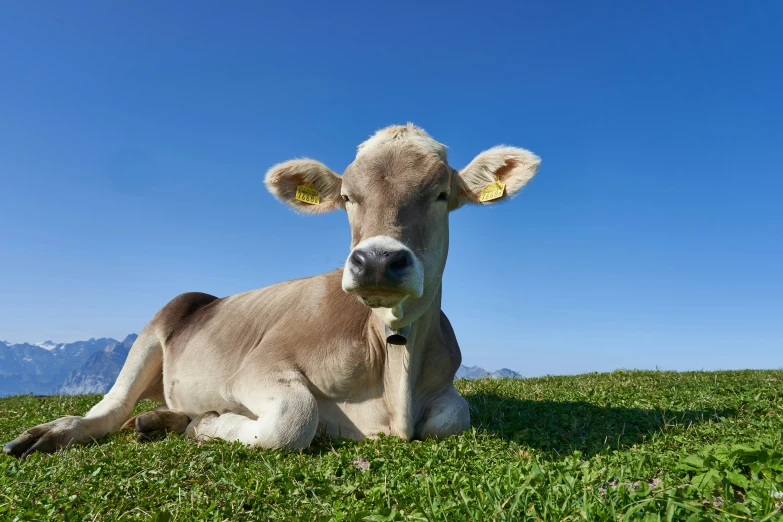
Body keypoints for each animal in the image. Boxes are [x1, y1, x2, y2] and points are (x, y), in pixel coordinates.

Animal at [4, 123, 540, 456]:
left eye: (441, 194)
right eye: (348, 197)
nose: (376, 261)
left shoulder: (445, 387)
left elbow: (453, 415)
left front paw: (192, 422)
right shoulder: (256, 369)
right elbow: (293, 419)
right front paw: (210, 424)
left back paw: (161, 419)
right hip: (156, 327)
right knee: (110, 409)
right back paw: (55, 433)